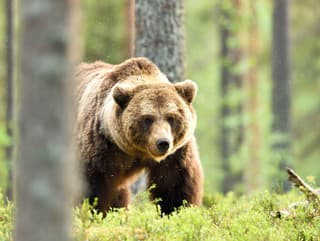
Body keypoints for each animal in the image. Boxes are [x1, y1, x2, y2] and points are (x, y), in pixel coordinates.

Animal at [75, 57, 202, 215]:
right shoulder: (100, 146)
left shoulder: (176, 153)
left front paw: (176, 211)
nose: (163, 143)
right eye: (148, 118)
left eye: (171, 117)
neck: (138, 152)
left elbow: (175, 185)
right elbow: (94, 189)